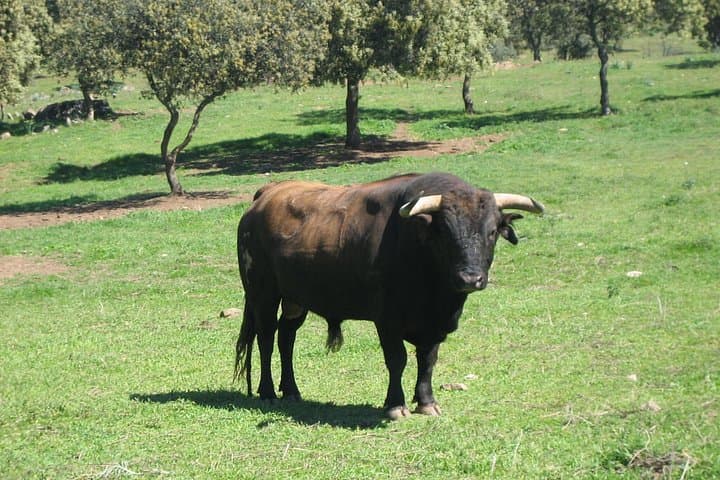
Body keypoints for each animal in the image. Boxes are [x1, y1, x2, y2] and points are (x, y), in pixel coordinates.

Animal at [234, 172, 543, 419]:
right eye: (445, 232)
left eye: (491, 232)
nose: (470, 278)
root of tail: (266, 195)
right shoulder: (387, 319)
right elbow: (397, 359)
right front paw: (396, 405)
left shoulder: (434, 324)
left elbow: (427, 360)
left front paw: (426, 402)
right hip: (263, 293)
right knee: (266, 338)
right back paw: (268, 391)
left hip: (295, 299)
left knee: (286, 337)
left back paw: (291, 390)